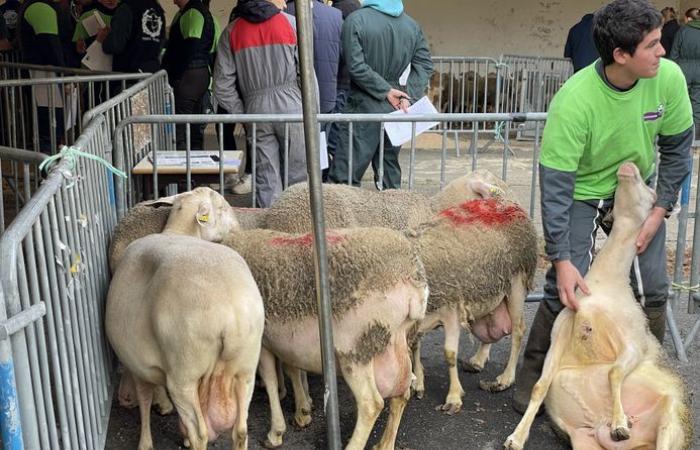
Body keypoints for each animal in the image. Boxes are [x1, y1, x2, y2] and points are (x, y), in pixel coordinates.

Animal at [104, 187, 266, 450]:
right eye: (222, 208)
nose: (238, 229)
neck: (178, 231)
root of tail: (231, 317)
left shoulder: (137, 361)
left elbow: (145, 399)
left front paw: (145, 442)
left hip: (184, 374)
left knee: (200, 433)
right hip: (246, 368)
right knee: (240, 430)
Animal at [221, 225, 432, 450]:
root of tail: (411, 274)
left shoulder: (261, 343)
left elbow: (269, 379)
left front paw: (276, 432)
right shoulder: (286, 343)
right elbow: (291, 370)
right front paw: (302, 411)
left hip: (357, 348)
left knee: (371, 403)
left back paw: (354, 445)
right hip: (397, 339)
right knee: (402, 393)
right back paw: (384, 444)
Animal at [504, 162, 688, 450]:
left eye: (651, 193)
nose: (628, 165)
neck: (606, 284)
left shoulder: (633, 344)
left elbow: (614, 372)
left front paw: (620, 424)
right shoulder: (559, 336)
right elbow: (540, 386)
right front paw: (516, 437)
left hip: (670, 422)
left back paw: (621, 426)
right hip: (583, 441)